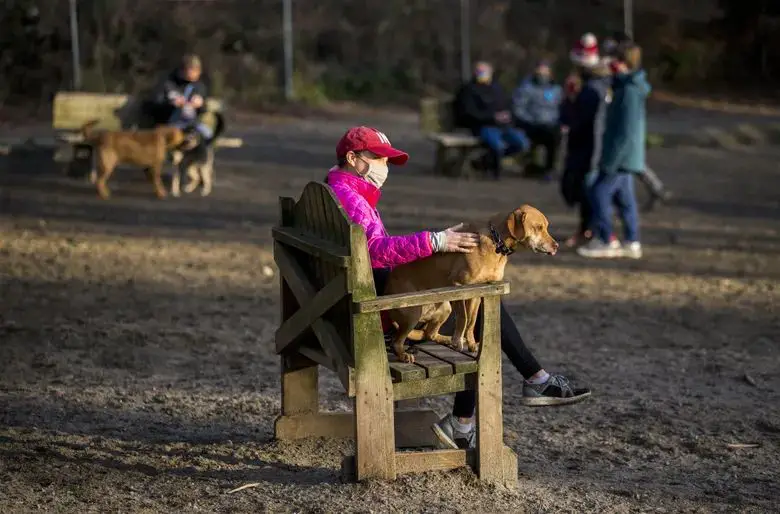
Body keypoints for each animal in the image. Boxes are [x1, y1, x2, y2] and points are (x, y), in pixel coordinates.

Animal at [386, 203, 556, 360]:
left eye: (546, 227)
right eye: (538, 227)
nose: (557, 246)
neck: (496, 242)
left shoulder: (477, 291)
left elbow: (472, 320)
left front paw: (471, 343)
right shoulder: (458, 286)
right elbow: (464, 317)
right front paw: (458, 340)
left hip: (445, 308)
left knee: (429, 334)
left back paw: (446, 339)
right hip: (414, 312)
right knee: (397, 340)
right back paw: (404, 354)